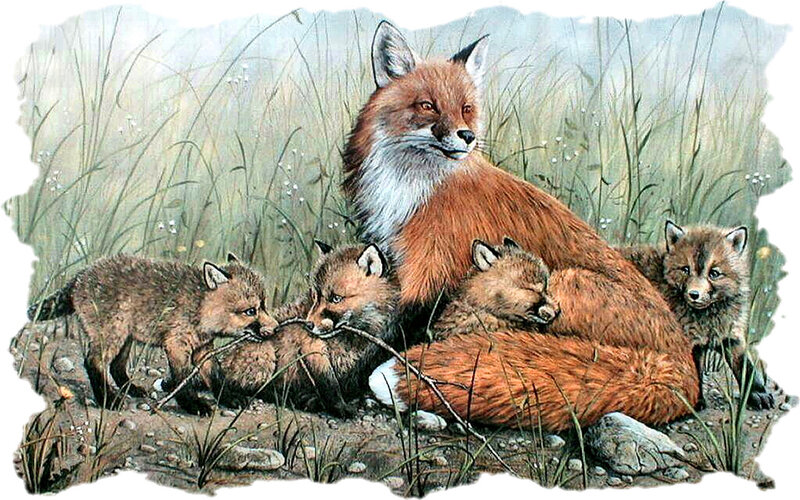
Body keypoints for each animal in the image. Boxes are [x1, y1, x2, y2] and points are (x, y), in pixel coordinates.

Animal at [27, 254, 277, 416]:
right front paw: (194, 405)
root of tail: (81, 275)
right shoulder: (176, 344)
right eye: (251, 311)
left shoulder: (203, 348)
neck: (199, 306)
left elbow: (217, 376)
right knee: (93, 361)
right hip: (113, 334)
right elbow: (182, 380)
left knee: (116, 366)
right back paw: (108, 399)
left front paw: (229, 397)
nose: (275, 328)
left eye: (264, 305)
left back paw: (131, 389)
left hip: (125, 337)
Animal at [219, 242, 400, 417]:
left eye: (336, 298)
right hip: (265, 354)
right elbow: (330, 384)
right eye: (315, 296)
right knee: (246, 387)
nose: (308, 325)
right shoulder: (312, 348)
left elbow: (348, 383)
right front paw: (340, 407)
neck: (350, 336)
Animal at [347, 22, 699, 429]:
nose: (467, 136)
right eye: (427, 105)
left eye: (467, 109)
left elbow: (392, 327)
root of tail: (684, 363)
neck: (417, 188)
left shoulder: (429, 269)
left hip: (564, 281)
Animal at [618, 221, 774, 410]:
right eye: (686, 269)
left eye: (714, 273)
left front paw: (758, 393)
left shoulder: (730, 335)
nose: (694, 294)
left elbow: (747, 368)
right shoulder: (686, 341)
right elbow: (694, 373)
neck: (708, 317)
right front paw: (695, 401)